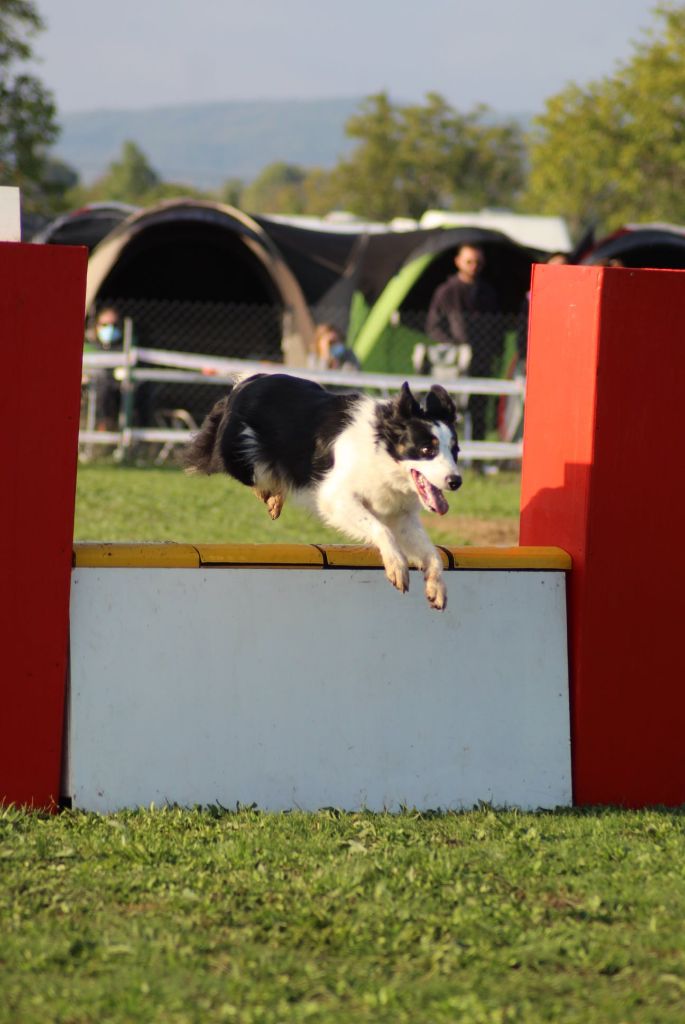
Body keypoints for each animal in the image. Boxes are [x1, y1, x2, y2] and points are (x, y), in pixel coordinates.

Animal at [181, 374, 462, 606]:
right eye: (427, 449)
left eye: (455, 451)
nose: (456, 481)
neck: (382, 453)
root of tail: (244, 383)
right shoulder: (336, 497)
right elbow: (380, 528)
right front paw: (397, 567)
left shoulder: (399, 514)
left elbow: (431, 552)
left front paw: (436, 588)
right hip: (240, 457)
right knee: (257, 473)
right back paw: (268, 494)